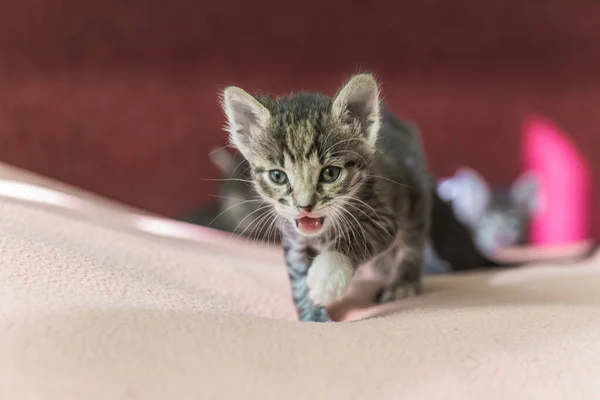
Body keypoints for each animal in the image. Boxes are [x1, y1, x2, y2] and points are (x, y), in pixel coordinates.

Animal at [220, 72, 432, 322]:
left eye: (331, 173)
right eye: (277, 176)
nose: (304, 206)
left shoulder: (383, 217)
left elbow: (356, 237)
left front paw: (327, 275)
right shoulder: (294, 240)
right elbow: (299, 278)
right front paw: (313, 315)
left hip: (415, 200)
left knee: (412, 244)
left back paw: (403, 283)